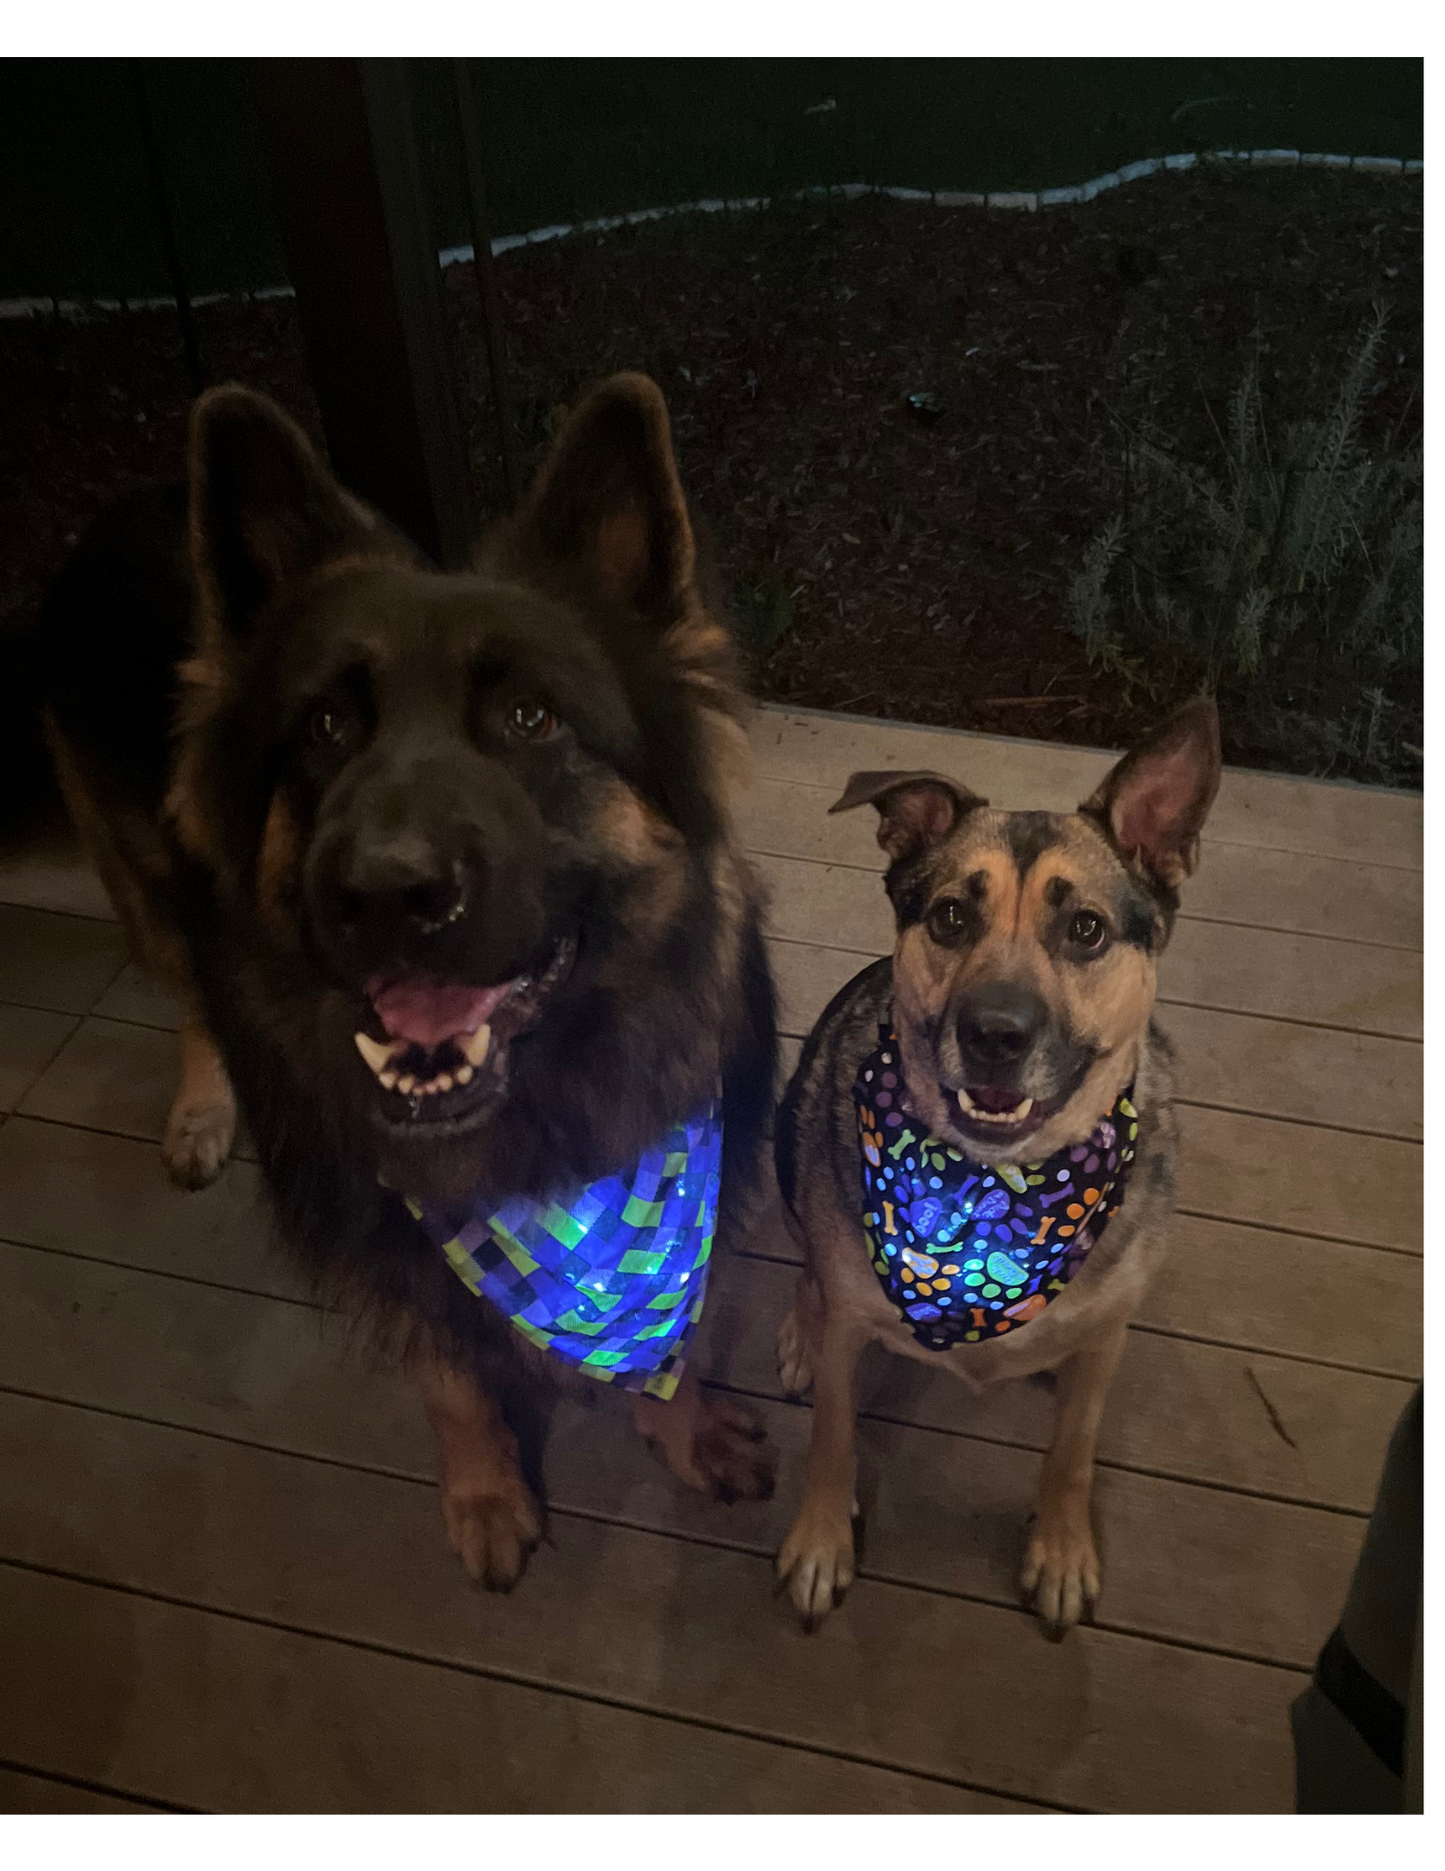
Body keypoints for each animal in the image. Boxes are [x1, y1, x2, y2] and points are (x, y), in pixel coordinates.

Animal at [778, 703, 1220, 1638]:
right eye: (949, 916)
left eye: (1085, 928)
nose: (993, 1032)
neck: (997, 1188)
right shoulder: (849, 1331)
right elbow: (832, 1432)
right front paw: (822, 1539)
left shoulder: (1104, 1348)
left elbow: (1073, 1451)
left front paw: (1060, 1549)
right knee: (805, 1263)